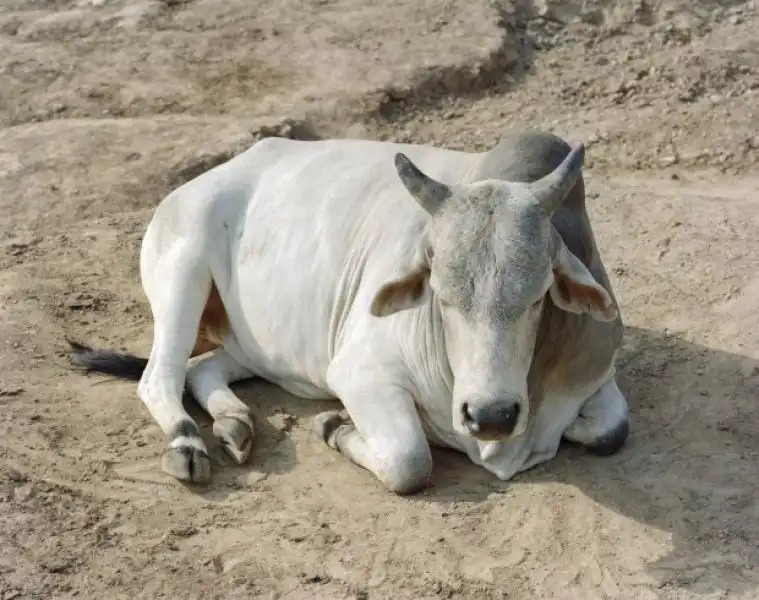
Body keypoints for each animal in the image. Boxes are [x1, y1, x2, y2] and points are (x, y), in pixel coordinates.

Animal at [70, 130, 628, 492]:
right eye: (441, 295)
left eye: (537, 296)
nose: (491, 416)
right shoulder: (361, 372)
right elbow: (409, 462)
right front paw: (335, 427)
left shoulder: (595, 375)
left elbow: (611, 431)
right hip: (180, 272)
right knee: (159, 377)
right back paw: (188, 444)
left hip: (262, 347)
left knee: (203, 369)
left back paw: (234, 422)